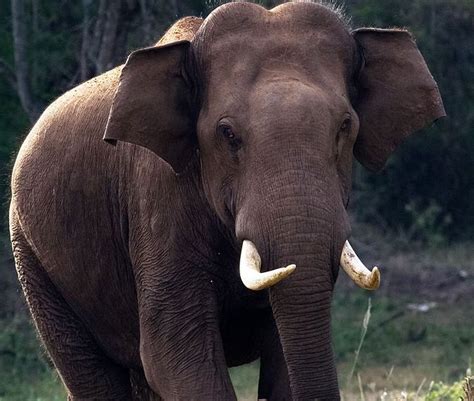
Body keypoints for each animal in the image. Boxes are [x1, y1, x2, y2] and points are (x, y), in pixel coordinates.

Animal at [10, 1, 444, 398]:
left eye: (345, 127)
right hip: (33, 257)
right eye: (228, 134)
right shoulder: (157, 200)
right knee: (92, 375)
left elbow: (284, 352)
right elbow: (174, 357)